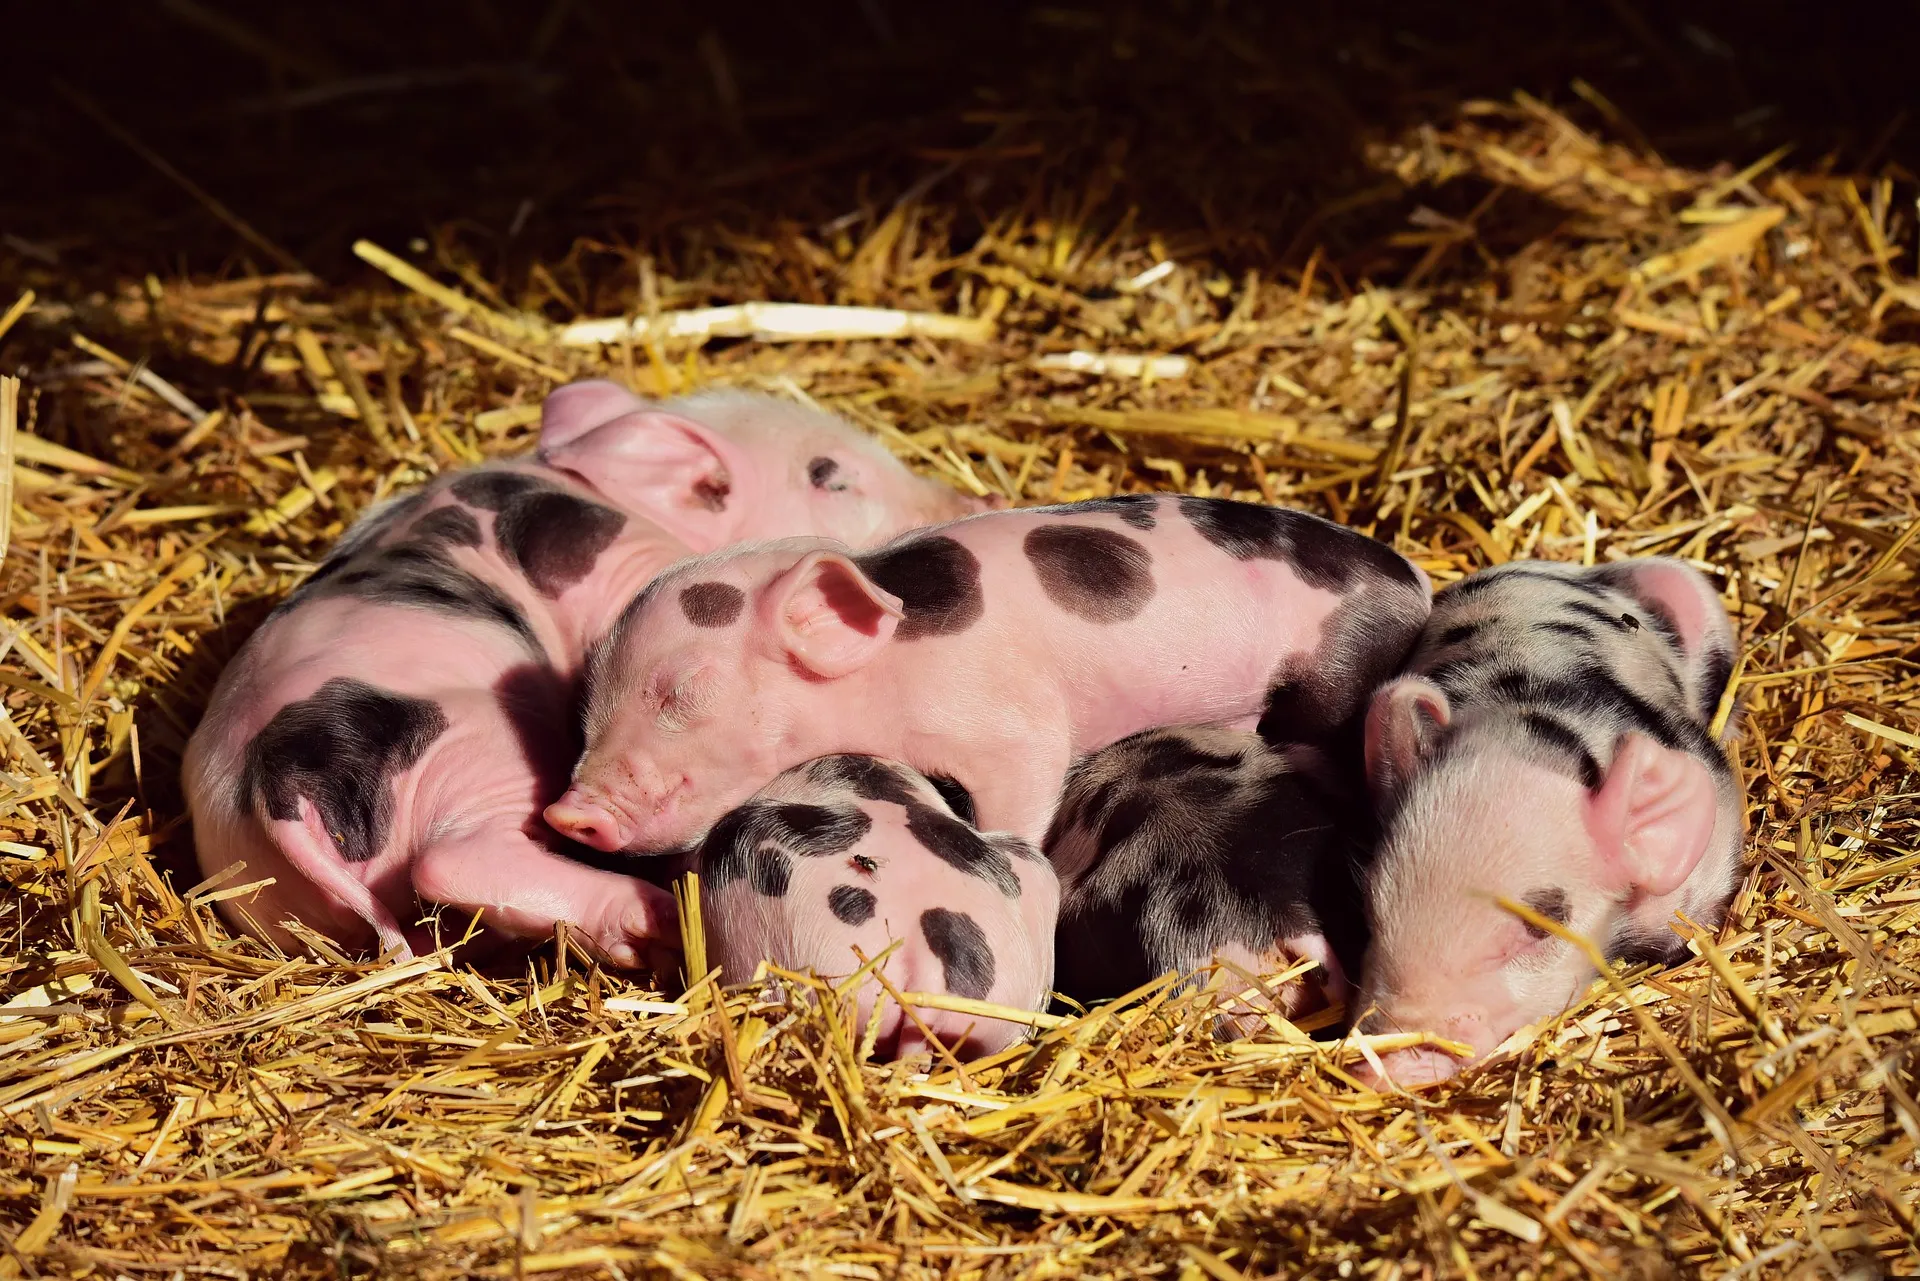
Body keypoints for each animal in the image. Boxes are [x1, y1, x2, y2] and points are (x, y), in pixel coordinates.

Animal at [184, 380, 982, 964]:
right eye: (829, 475)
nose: (971, 498)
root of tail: (278, 786)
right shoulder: (625, 562)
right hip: (478, 745)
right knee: (456, 857)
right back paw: (652, 921)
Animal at [547, 493, 1432, 857]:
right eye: (587, 702)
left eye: (682, 690)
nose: (565, 814)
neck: (886, 669)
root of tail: (1412, 578)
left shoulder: (1009, 725)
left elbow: (1027, 782)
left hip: (1335, 671)